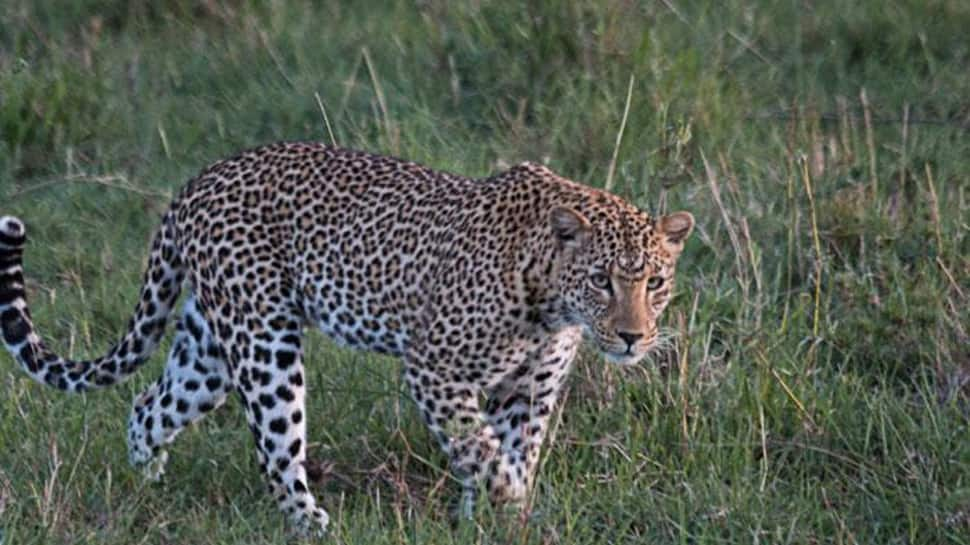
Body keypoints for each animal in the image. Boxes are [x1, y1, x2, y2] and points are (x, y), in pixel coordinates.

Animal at [1, 141, 696, 536]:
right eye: (602, 281)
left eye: (656, 281)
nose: (633, 338)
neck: (551, 301)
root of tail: (195, 183)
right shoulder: (434, 369)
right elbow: (482, 452)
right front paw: (508, 504)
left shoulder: (530, 390)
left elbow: (510, 451)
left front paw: (499, 520)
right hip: (264, 344)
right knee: (276, 449)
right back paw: (310, 523)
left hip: (209, 351)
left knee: (148, 406)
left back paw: (150, 486)